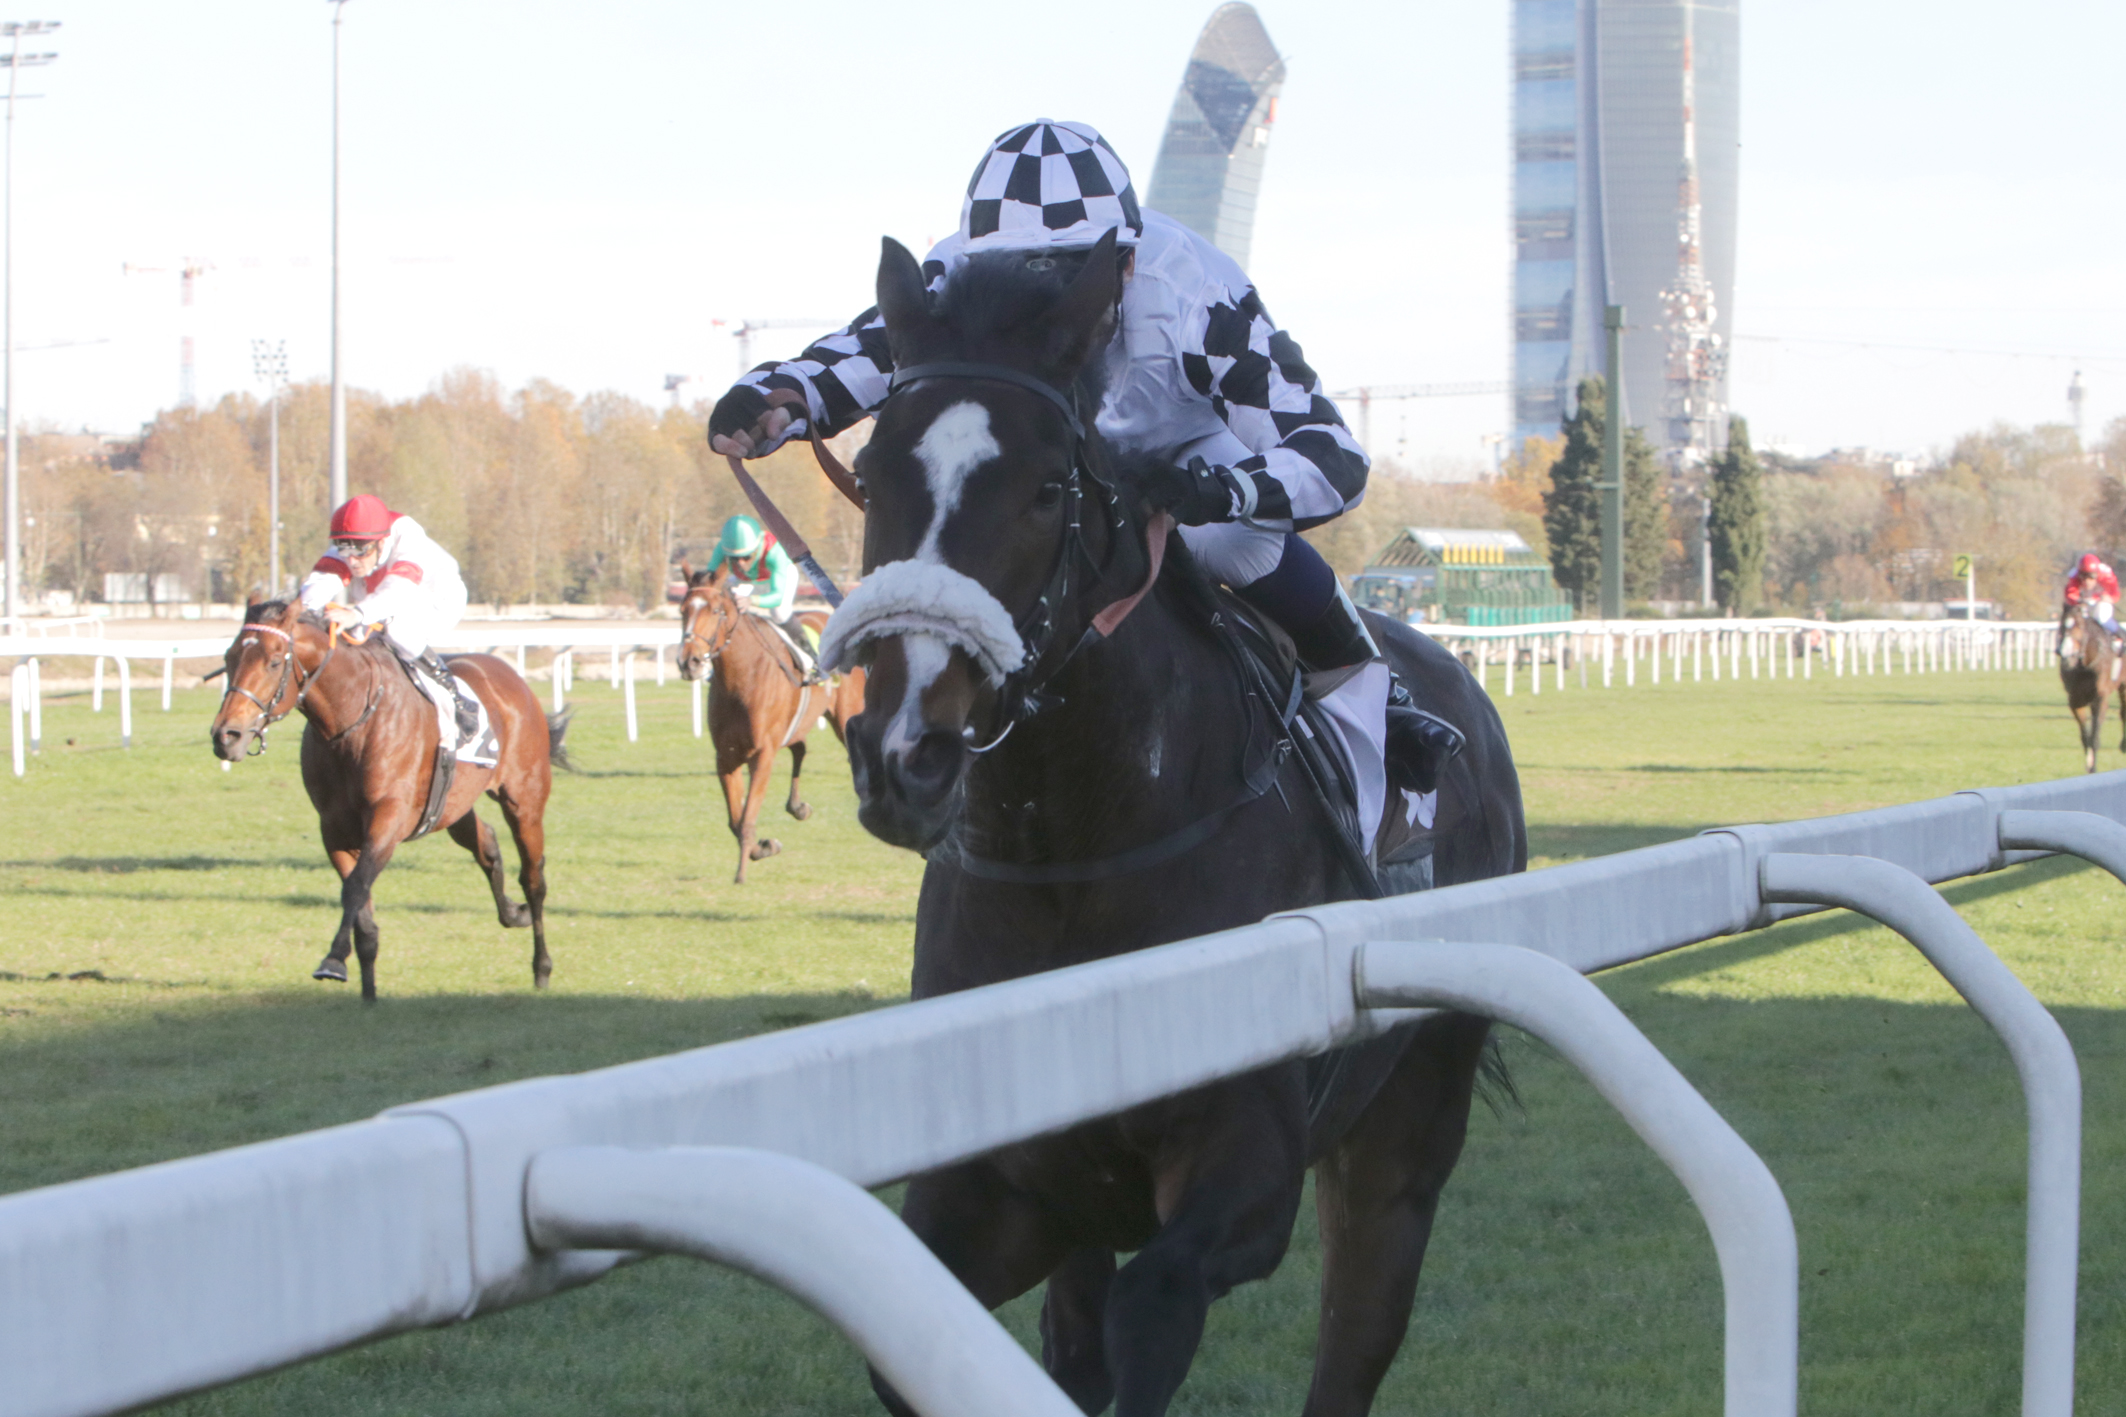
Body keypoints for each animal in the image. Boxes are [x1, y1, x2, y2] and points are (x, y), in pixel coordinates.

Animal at [208, 594, 569, 998]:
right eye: (229, 657)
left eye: (273, 661)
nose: (226, 736)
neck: (351, 723)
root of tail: (510, 676)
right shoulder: (334, 829)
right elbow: (361, 909)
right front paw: (368, 992)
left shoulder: (388, 819)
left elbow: (355, 889)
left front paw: (333, 960)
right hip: (451, 806)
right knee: (486, 844)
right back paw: (513, 913)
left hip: (524, 800)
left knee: (534, 879)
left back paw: (541, 966)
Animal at [667, 569, 858, 879]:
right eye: (682, 611)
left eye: (716, 610)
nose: (689, 662)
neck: (741, 676)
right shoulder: (726, 756)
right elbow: (736, 819)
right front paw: (762, 847)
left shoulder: (763, 754)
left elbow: (747, 816)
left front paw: (742, 873)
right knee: (800, 748)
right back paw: (797, 806)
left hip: (846, 715)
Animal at [824, 227, 1530, 1410]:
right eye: (872, 475)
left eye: (1045, 487)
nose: (905, 750)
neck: (1078, 851)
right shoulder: (1008, 1178)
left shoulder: (1246, 1162)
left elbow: (1151, 1307)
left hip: (1405, 1125)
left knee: (1356, 1329)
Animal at [2057, 599, 2126, 777]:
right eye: (2062, 625)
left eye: (2079, 625)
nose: (2065, 654)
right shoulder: (2075, 701)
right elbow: (2085, 737)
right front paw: (2088, 765)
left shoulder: (2100, 699)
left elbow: (2094, 737)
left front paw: (2094, 768)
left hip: (2123, 686)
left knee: (2123, 712)